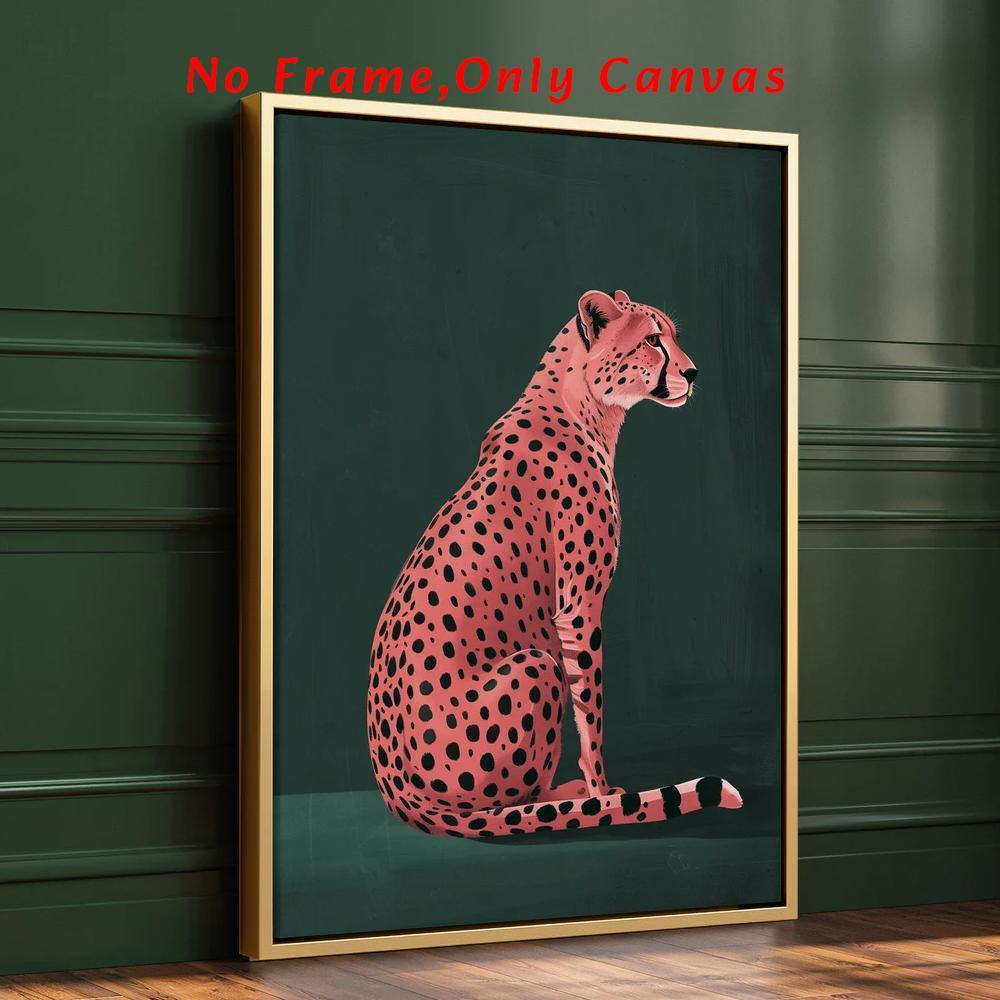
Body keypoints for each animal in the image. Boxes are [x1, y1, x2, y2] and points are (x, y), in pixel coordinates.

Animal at [367, 288, 743, 837]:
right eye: (653, 340)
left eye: (673, 336)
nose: (693, 373)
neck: (584, 403)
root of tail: (398, 793)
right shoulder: (578, 608)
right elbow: (592, 709)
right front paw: (601, 792)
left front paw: (598, 793)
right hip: (535, 667)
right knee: (502, 807)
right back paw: (563, 798)